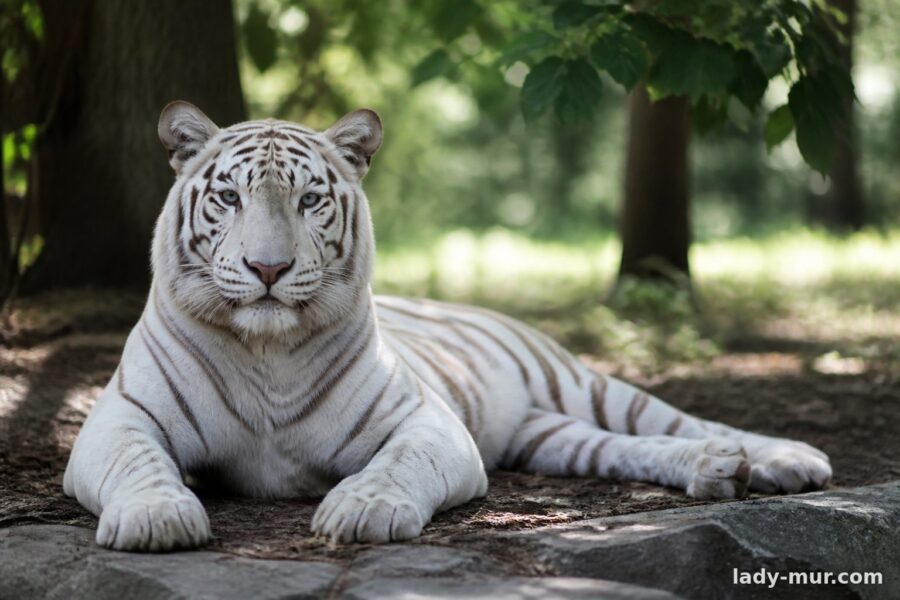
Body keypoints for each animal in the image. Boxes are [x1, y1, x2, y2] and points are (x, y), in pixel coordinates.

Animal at [63, 101, 832, 551]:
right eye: (228, 197)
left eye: (310, 200)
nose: (269, 268)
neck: (266, 350)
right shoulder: (119, 418)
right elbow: (138, 463)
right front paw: (158, 519)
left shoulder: (428, 421)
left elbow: (400, 463)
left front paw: (361, 509)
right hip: (547, 436)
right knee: (630, 450)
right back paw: (717, 472)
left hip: (582, 384)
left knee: (682, 422)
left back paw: (783, 459)